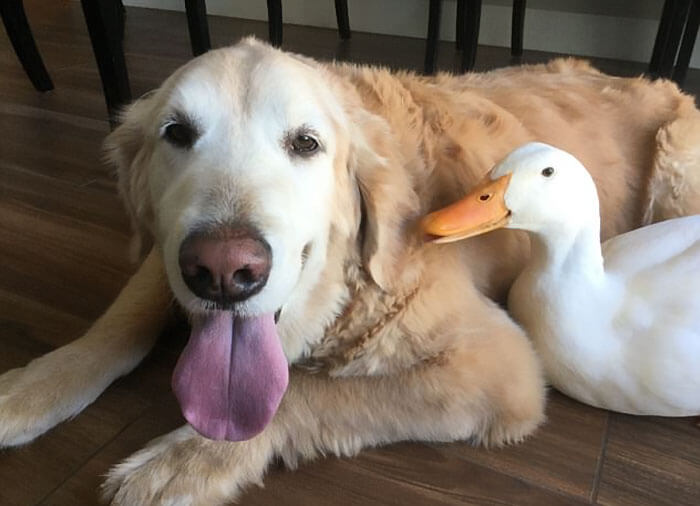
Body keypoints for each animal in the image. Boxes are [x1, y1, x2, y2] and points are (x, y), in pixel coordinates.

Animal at [1, 37, 700, 504]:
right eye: (176, 132)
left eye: (306, 143)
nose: (225, 271)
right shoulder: (165, 253)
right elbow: (119, 322)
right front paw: (33, 387)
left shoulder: (499, 367)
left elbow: (301, 395)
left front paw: (185, 460)